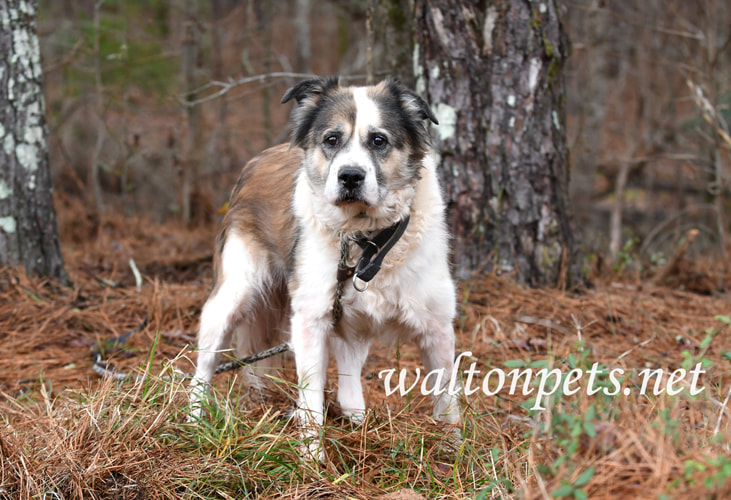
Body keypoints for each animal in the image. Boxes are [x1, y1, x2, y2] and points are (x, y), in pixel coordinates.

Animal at [192, 76, 460, 458]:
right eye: (332, 139)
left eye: (379, 140)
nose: (350, 176)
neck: (366, 240)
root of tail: (259, 158)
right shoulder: (310, 320)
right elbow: (311, 402)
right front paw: (312, 459)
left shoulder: (437, 327)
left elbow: (446, 400)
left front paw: (454, 453)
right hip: (232, 296)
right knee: (203, 368)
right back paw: (194, 421)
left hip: (351, 326)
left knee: (349, 389)